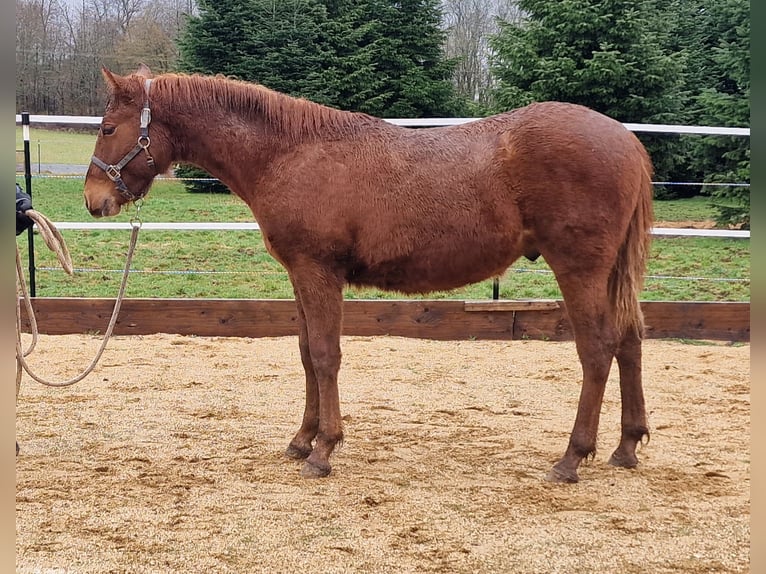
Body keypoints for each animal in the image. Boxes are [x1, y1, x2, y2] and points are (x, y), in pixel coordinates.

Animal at [84, 64, 654, 483]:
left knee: (598, 349)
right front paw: (302, 440)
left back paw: (572, 458)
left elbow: (325, 355)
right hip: (608, 274)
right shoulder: (300, 275)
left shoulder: (319, 272)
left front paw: (324, 450)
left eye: (109, 128)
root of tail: (628, 141)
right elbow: (306, 354)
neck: (290, 153)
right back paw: (626, 446)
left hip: (579, 268)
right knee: (629, 340)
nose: (95, 200)